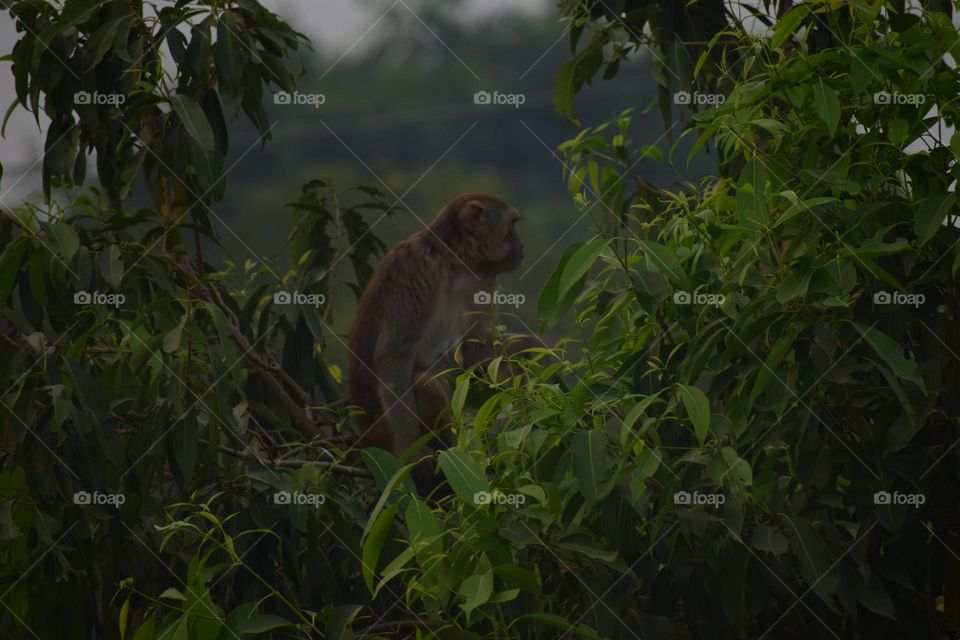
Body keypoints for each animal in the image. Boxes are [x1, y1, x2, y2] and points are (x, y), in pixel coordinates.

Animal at [346, 192, 524, 492]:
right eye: (512, 225)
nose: (521, 246)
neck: (454, 264)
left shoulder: (481, 281)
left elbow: (476, 349)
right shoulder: (414, 269)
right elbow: (393, 358)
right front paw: (413, 454)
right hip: (383, 437)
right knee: (423, 380)